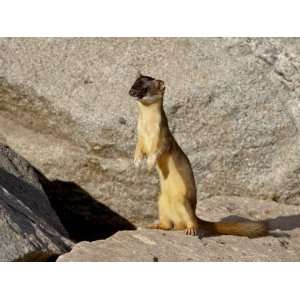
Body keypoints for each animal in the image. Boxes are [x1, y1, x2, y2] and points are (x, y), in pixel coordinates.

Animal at [129, 72, 268, 237]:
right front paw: (137, 162)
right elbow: (138, 149)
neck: (147, 129)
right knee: (168, 224)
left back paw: (191, 229)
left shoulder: (164, 138)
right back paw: (156, 225)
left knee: (190, 220)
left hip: (183, 201)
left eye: (144, 88)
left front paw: (150, 164)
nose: (131, 92)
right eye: (133, 83)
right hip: (161, 201)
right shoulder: (140, 137)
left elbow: (158, 151)